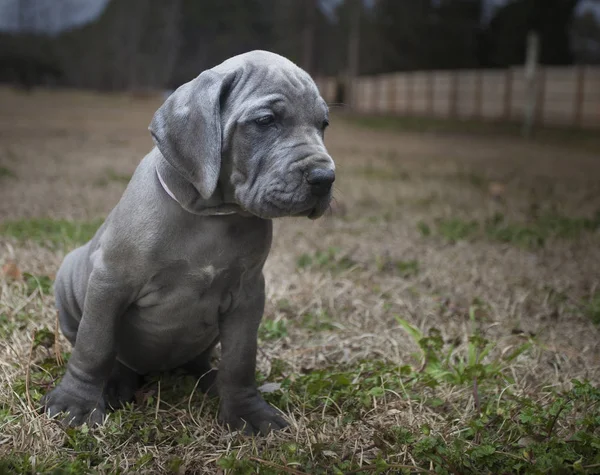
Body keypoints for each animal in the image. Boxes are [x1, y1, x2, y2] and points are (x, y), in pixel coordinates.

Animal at [44, 51, 336, 436]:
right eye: (266, 121)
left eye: (323, 124)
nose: (325, 178)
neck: (212, 216)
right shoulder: (111, 281)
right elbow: (94, 346)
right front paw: (75, 403)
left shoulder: (248, 296)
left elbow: (240, 360)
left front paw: (248, 412)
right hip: (68, 275)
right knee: (107, 353)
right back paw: (116, 384)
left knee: (204, 362)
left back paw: (210, 380)